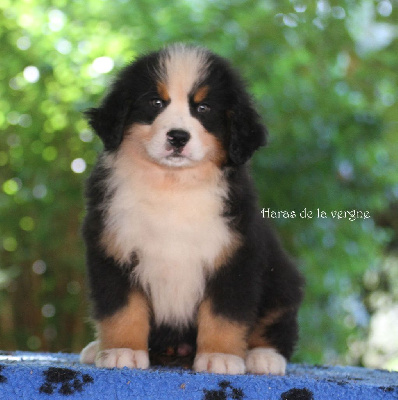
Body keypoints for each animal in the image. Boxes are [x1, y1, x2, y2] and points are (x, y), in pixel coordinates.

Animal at [80, 43, 304, 376]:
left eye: (203, 108)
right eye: (156, 102)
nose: (177, 137)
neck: (173, 185)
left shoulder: (236, 253)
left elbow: (225, 313)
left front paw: (221, 357)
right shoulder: (112, 248)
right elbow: (122, 309)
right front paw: (122, 350)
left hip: (282, 282)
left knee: (276, 324)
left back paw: (263, 357)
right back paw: (96, 347)